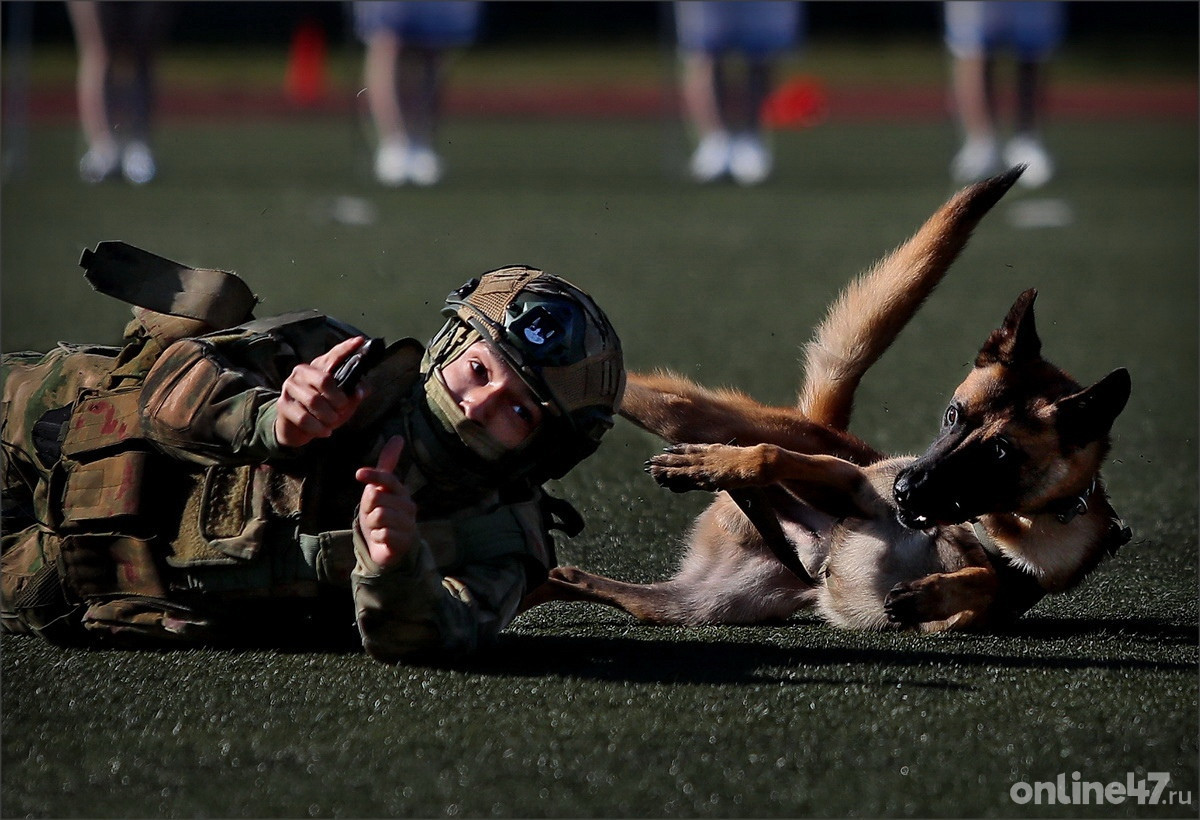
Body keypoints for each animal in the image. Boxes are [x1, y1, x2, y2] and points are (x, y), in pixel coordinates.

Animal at [530, 163, 1128, 633]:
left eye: (1002, 452)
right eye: (953, 415)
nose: (907, 487)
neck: (976, 523)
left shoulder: (979, 610)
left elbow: (982, 582)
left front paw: (936, 588)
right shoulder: (846, 483)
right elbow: (769, 457)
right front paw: (715, 465)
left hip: (698, 602)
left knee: (582, 581)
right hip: (701, 422)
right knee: (675, 410)